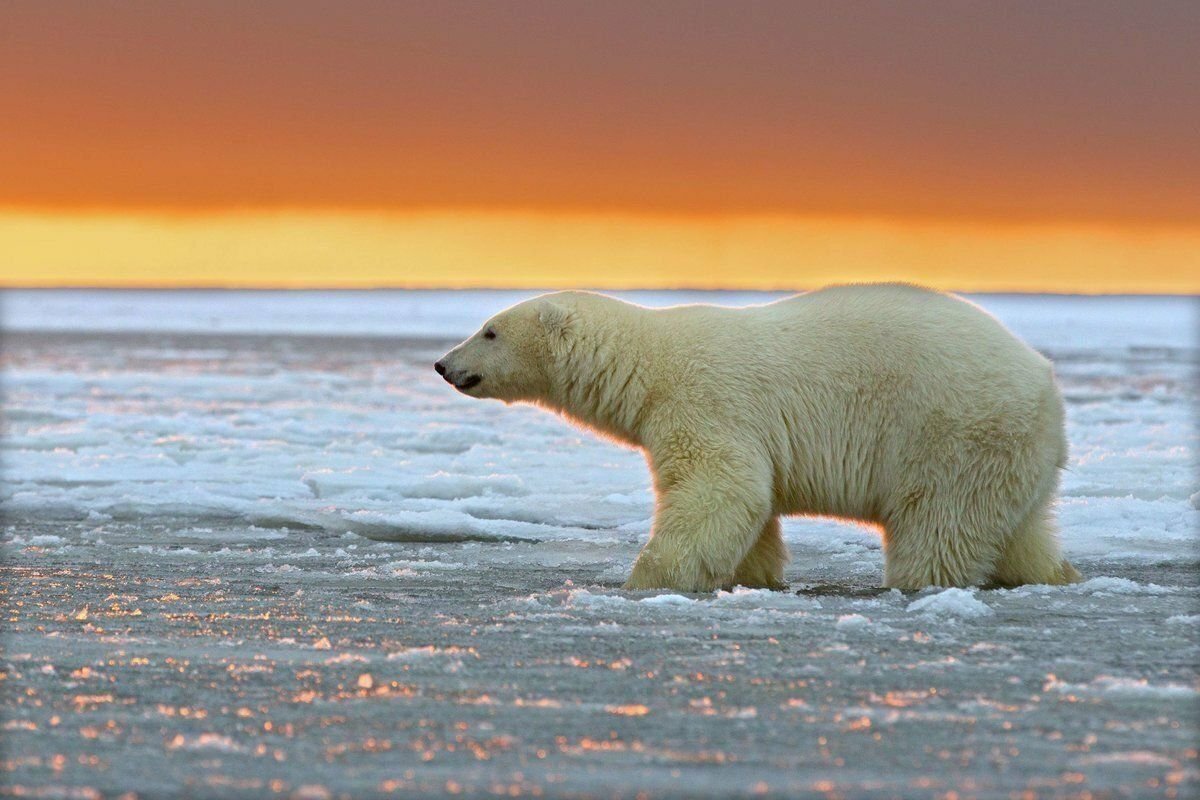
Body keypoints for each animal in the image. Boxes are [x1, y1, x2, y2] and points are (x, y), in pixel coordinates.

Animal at [436, 286, 1084, 594]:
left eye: (489, 330)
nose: (444, 364)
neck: (649, 363)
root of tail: (1047, 385)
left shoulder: (705, 400)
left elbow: (720, 490)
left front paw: (646, 578)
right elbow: (754, 508)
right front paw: (751, 576)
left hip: (953, 433)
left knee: (940, 527)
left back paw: (920, 580)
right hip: (1013, 455)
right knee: (1021, 528)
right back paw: (1053, 574)